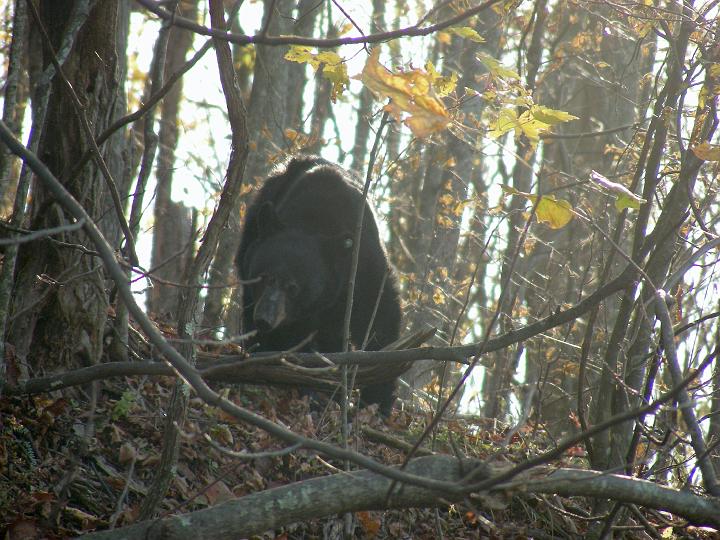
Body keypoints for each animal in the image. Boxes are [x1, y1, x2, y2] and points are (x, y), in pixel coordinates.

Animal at [239, 154, 402, 416]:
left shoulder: (365, 261)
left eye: (293, 287)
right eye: (263, 277)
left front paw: (378, 400)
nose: (265, 318)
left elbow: (379, 316)